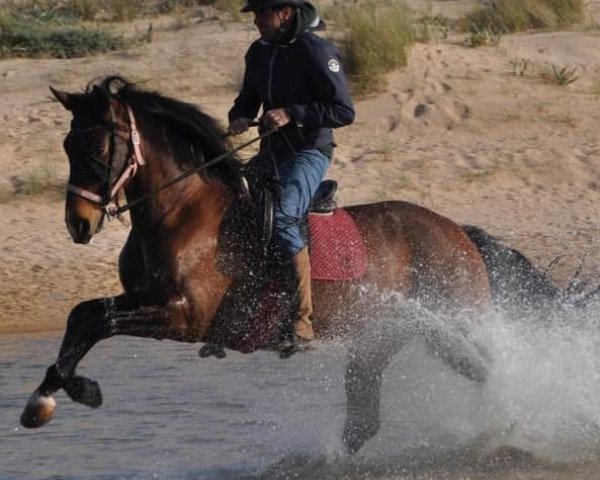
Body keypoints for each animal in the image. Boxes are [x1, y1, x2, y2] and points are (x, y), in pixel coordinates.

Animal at [22, 75, 492, 454]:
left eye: (100, 146)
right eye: (67, 145)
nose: (78, 223)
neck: (181, 212)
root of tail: (459, 232)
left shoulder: (185, 318)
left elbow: (101, 320)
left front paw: (73, 390)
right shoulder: (142, 297)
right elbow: (83, 315)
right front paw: (46, 397)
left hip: (450, 327)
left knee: (487, 370)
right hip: (378, 340)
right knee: (364, 420)